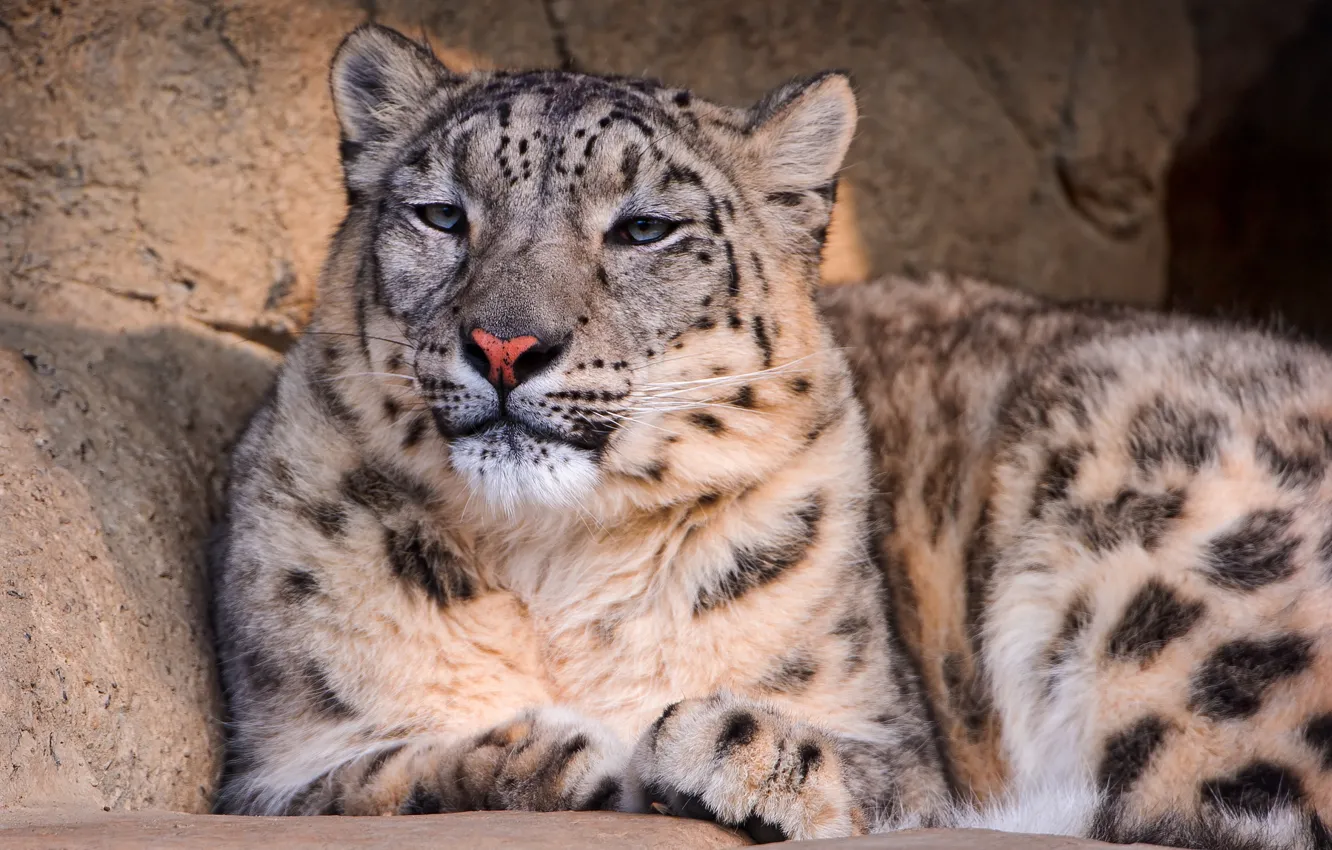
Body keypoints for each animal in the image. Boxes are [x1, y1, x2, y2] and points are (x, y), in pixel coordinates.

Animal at [209, 23, 1332, 848]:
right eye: (442, 214)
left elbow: (908, 779)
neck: (551, 565)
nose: (505, 343)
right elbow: (356, 779)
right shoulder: (276, 758)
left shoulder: (894, 728)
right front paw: (540, 754)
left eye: (644, 228)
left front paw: (729, 746)